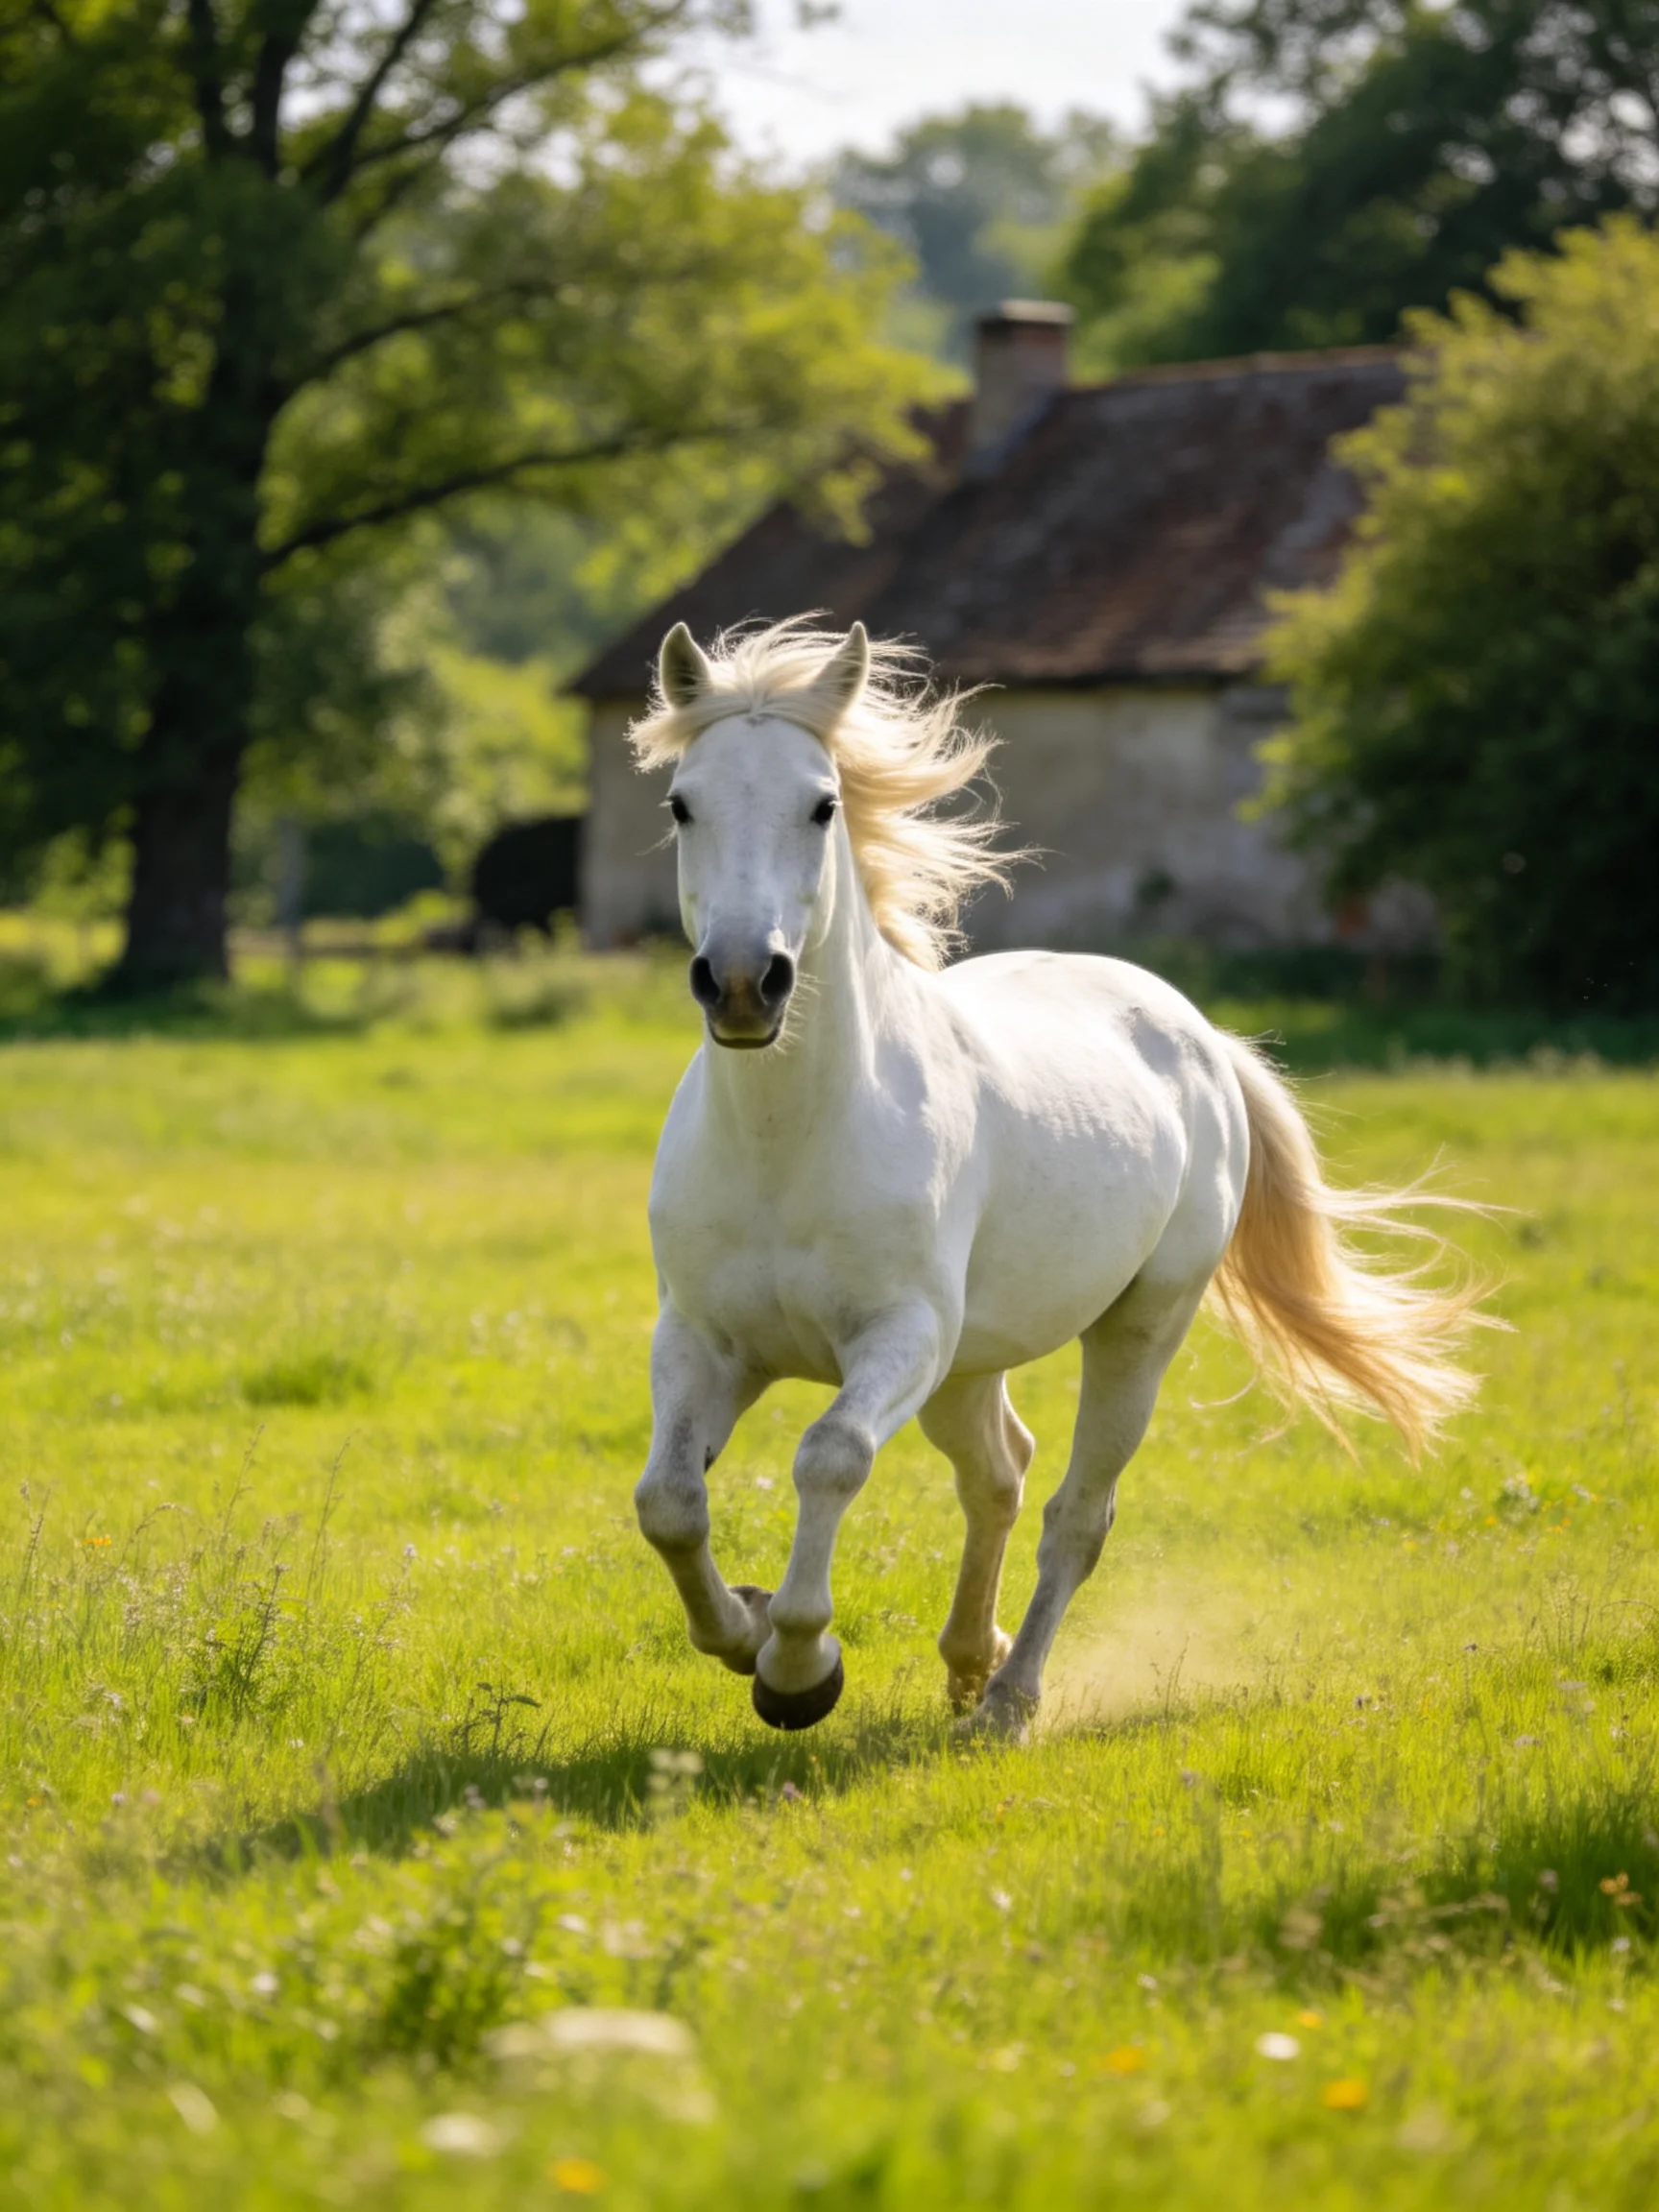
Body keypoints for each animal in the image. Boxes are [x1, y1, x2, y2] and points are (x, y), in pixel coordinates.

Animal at [628, 618, 1485, 1740]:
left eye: (822, 804)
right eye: (682, 803)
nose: (741, 983)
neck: (790, 1142)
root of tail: (1198, 1034)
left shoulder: (900, 1336)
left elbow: (830, 1456)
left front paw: (800, 1667)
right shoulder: (702, 1338)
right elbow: (670, 1501)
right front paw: (746, 1630)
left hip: (1134, 1332)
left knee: (1076, 1511)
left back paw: (1007, 1700)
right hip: (968, 1366)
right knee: (998, 1474)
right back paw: (965, 1662)